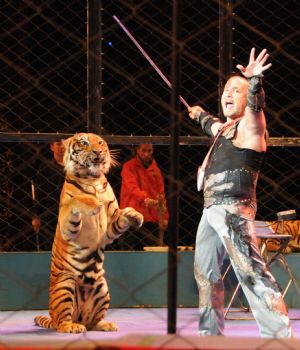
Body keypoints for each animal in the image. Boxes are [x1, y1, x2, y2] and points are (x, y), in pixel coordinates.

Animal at [33, 133, 144, 332]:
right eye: (83, 142)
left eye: (100, 142)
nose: (98, 151)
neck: (92, 178)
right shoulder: (67, 227)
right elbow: (76, 200)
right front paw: (92, 203)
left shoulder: (109, 227)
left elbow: (122, 214)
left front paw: (135, 215)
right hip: (65, 284)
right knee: (62, 322)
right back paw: (71, 327)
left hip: (103, 289)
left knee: (91, 323)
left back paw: (105, 324)